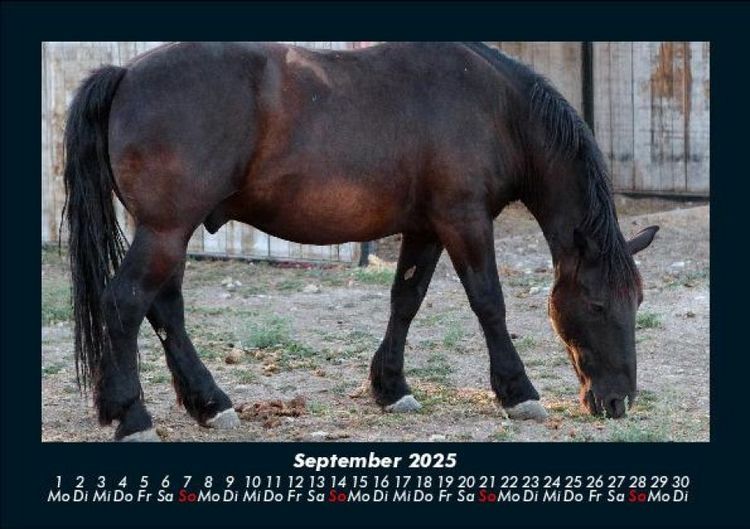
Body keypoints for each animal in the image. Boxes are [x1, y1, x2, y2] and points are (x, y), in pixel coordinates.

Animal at [63, 42, 658, 441]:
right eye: (598, 304)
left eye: (637, 302)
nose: (617, 401)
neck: (497, 108)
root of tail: (125, 73)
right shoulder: (463, 221)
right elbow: (489, 303)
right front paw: (519, 392)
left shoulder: (425, 228)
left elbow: (406, 300)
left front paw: (391, 388)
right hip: (165, 230)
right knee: (125, 303)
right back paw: (132, 416)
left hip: (169, 232)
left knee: (164, 309)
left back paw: (208, 403)